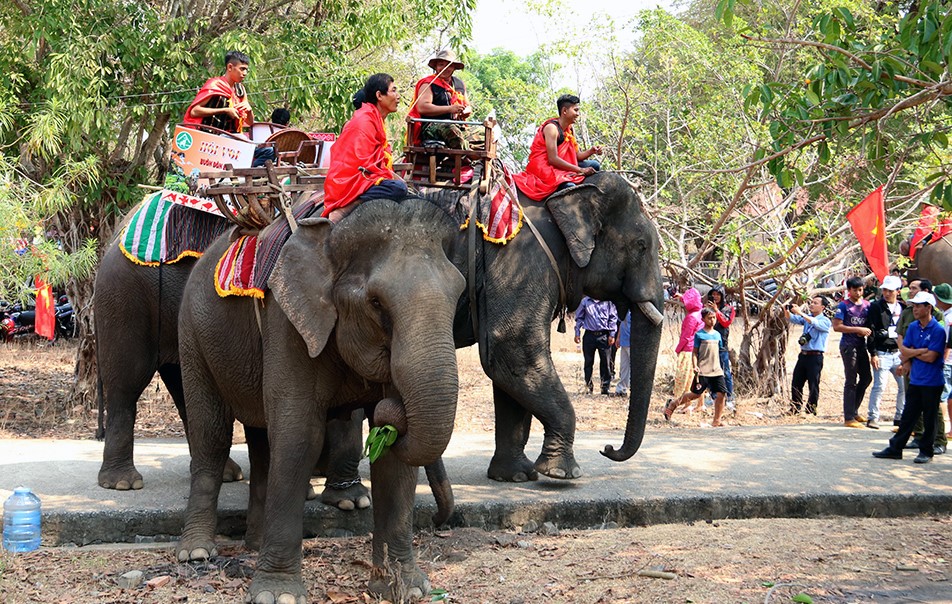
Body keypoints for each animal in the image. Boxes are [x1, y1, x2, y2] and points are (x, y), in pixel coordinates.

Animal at [92, 202, 373, 511]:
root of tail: (120, 225)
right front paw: (348, 500)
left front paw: (341, 492)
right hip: (125, 293)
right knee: (128, 381)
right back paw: (122, 483)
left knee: (184, 386)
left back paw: (226, 473)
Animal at [175, 198, 465, 603]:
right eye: (376, 303)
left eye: (459, 295)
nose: (440, 522)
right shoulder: (288, 321)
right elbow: (300, 437)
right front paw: (278, 596)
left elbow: (393, 458)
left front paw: (406, 589)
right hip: (192, 335)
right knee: (212, 434)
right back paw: (196, 552)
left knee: (262, 439)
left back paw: (254, 544)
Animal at [433, 171, 663, 481]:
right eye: (641, 246)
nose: (607, 448)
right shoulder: (520, 261)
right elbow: (513, 349)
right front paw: (562, 474)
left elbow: (503, 364)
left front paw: (515, 476)